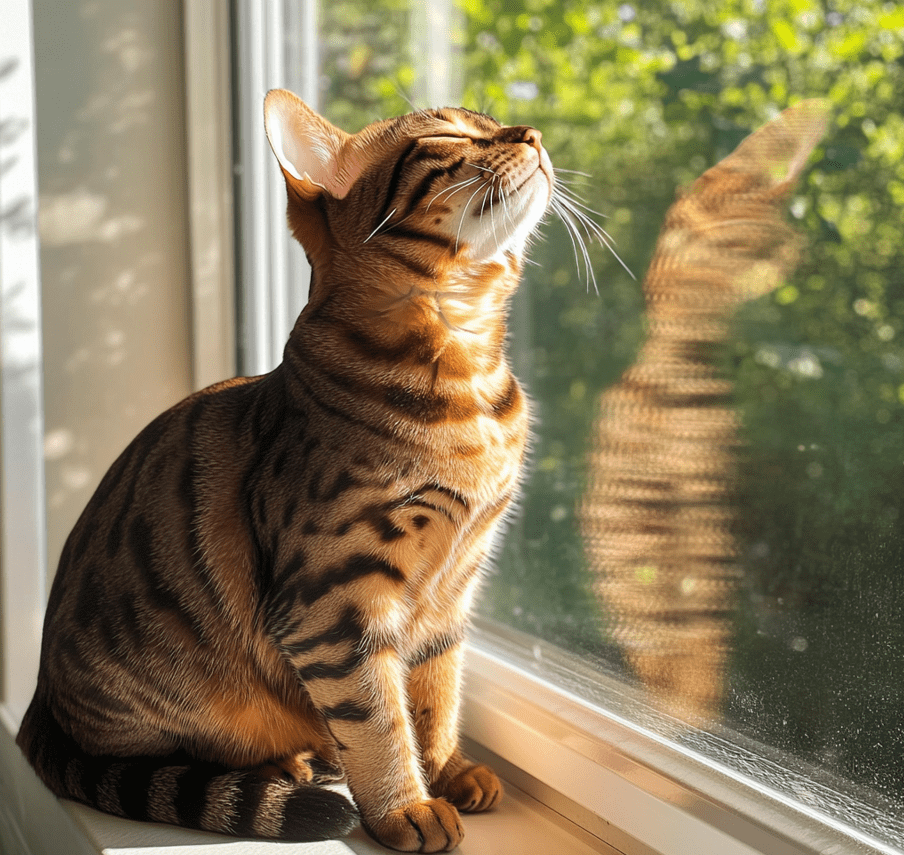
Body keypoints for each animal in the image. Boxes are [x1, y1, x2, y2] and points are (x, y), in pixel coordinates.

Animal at [17, 90, 556, 852]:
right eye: (450, 133)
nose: (533, 133)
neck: (467, 374)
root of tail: (35, 701)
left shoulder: (453, 591)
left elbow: (436, 695)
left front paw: (448, 770)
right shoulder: (335, 606)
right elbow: (380, 720)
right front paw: (405, 807)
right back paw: (288, 763)